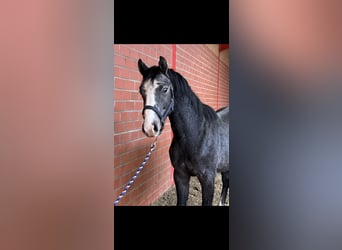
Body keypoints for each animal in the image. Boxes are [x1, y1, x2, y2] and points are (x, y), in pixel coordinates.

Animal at [137, 56, 230, 205]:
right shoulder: (180, 176)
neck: (195, 135)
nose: (150, 128)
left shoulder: (208, 180)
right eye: (142, 90)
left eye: (164, 89)